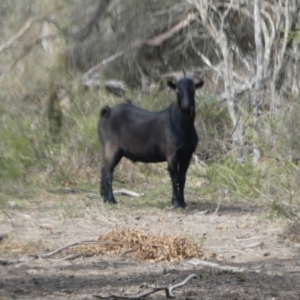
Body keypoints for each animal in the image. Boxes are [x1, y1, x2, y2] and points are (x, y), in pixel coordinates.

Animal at [98, 74, 204, 207]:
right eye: (177, 90)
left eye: (193, 90)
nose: (186, 105)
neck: (179, 124)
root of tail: (107, 112)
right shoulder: (172, 154)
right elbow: (175, 178)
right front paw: (176, 202)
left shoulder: (187, 154)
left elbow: (182, 178)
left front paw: (183, 202)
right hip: (111, 147)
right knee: (108, 171)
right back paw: (111, 199)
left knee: (103, 169)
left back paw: (104, 197)